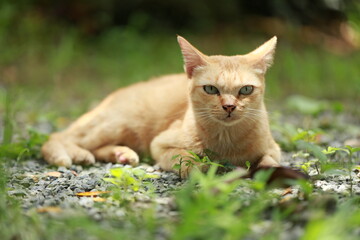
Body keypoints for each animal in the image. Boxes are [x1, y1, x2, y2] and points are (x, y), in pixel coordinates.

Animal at [42, 36, 282, 178]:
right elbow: (187, 159)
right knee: (57, 138)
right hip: (114, 124)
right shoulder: (160, 145)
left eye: (246, 90)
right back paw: (73, 154)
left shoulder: (274, 149)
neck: (227, 139)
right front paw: (200, 168)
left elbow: (271, 161)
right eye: (211, 89)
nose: (230, 107)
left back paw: (121, 154)